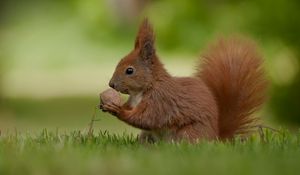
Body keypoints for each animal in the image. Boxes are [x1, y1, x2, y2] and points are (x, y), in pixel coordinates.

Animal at [99, 18, 268, 143]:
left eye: (130, 70)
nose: (111, 84)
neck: (143, 90)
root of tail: (215, 138)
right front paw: (109, 105)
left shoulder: (161, 101)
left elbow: (147, 118)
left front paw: (118, 110)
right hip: (148, 136)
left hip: (187, 133)